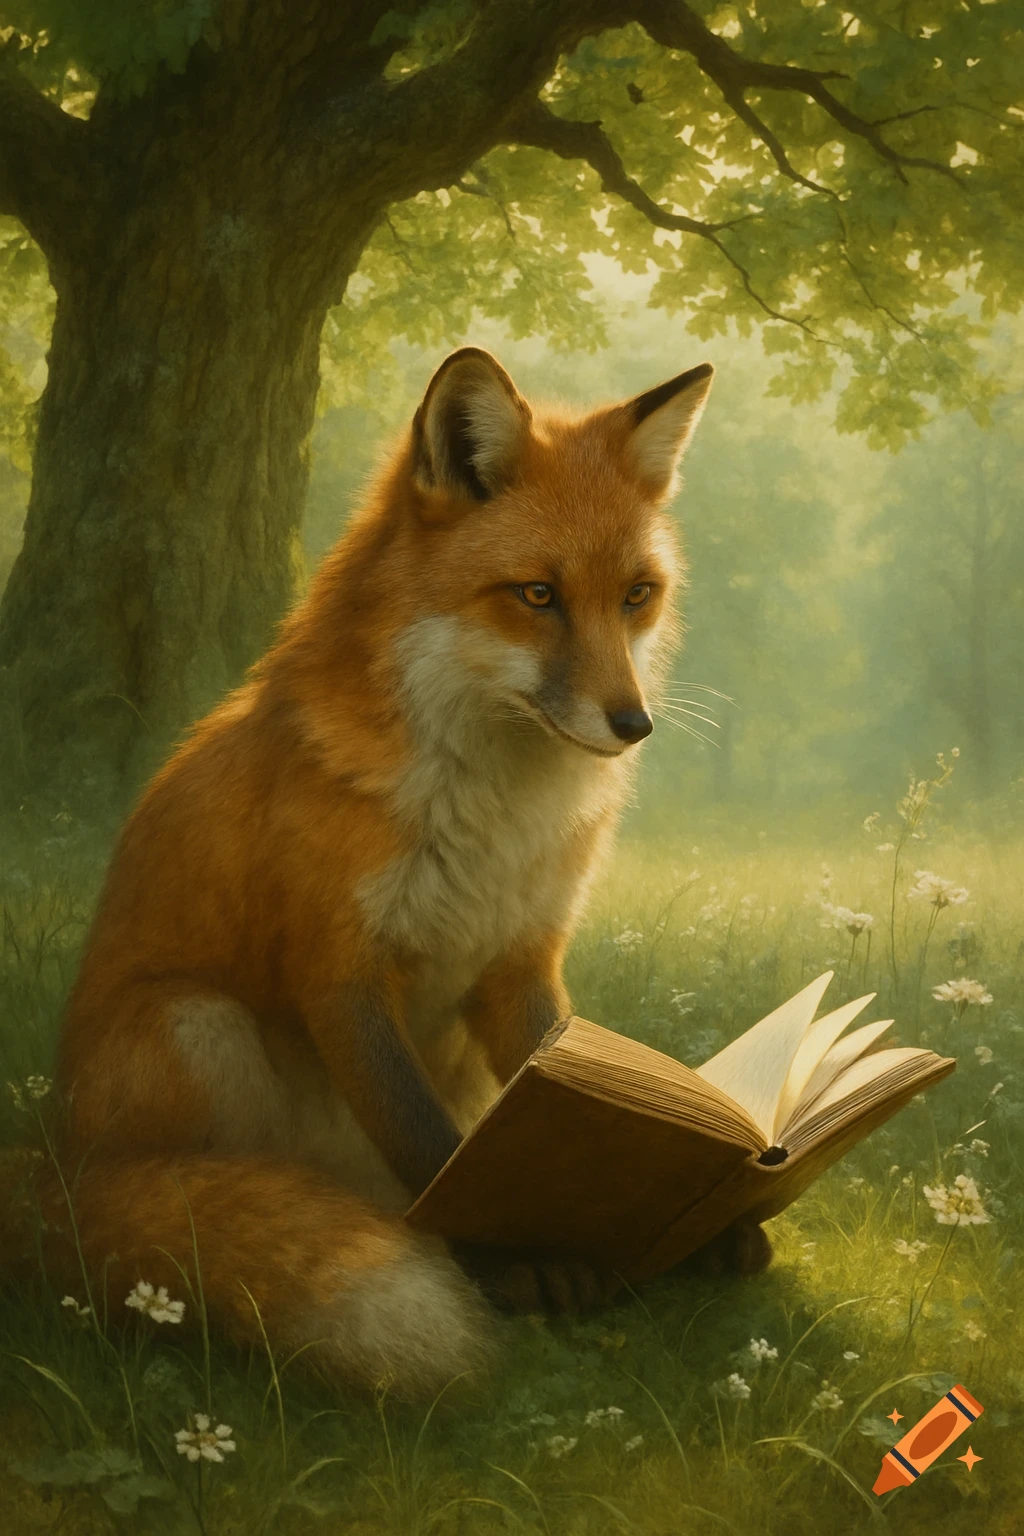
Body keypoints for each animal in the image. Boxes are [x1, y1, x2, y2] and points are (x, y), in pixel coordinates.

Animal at [6, 348, 770, 1397]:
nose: (633, 724)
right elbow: (429, 1145)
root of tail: (56, 1166)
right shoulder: (339, 969)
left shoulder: (521, 965)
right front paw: (511, 1260)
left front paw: (695, 1209)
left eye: (634, 597)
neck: (492, 813)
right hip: (195, 1025)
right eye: (537, 596)